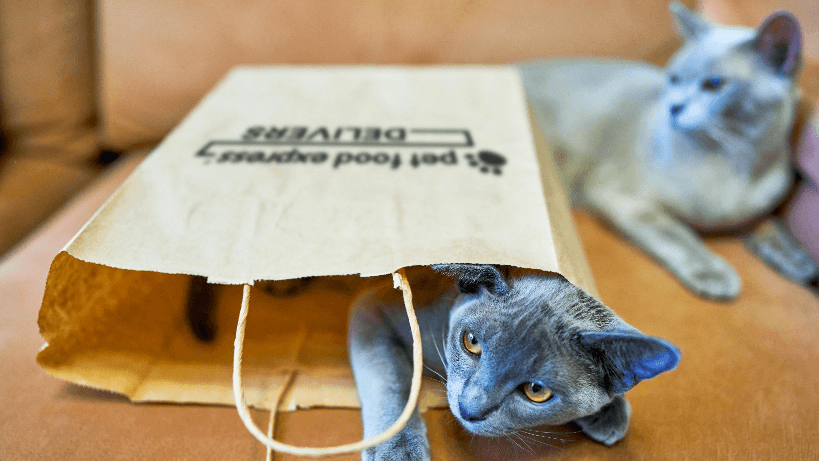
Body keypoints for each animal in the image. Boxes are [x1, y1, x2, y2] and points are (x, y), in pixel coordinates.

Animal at [350, 264, 684, 458]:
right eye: (471, 342)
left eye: (536, 391)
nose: (468, 408)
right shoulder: (372, 308)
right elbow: (394, 382)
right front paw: (398, 450)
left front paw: (610, 411)